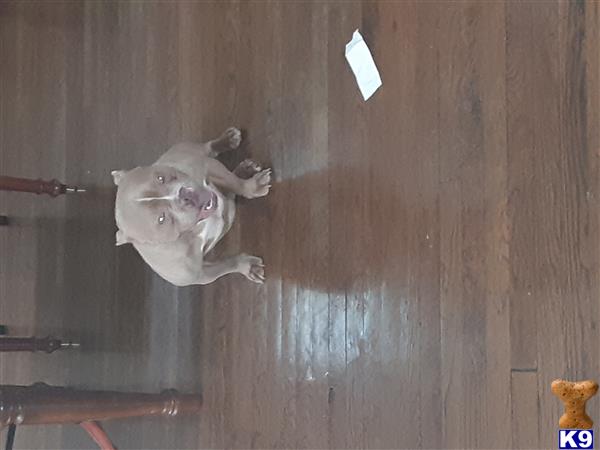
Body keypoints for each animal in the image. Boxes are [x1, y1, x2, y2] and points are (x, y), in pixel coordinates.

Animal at [111, 126, 270, 286]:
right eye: (162, 219)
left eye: (160, 178)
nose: (185, 196)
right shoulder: (201, 274)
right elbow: (226, 266)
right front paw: (248, 267)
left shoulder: (208, 166)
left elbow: (236, 184)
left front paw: (252, 187)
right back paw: (243, 171)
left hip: (189, 150)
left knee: (208, 148)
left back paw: (228, 142)